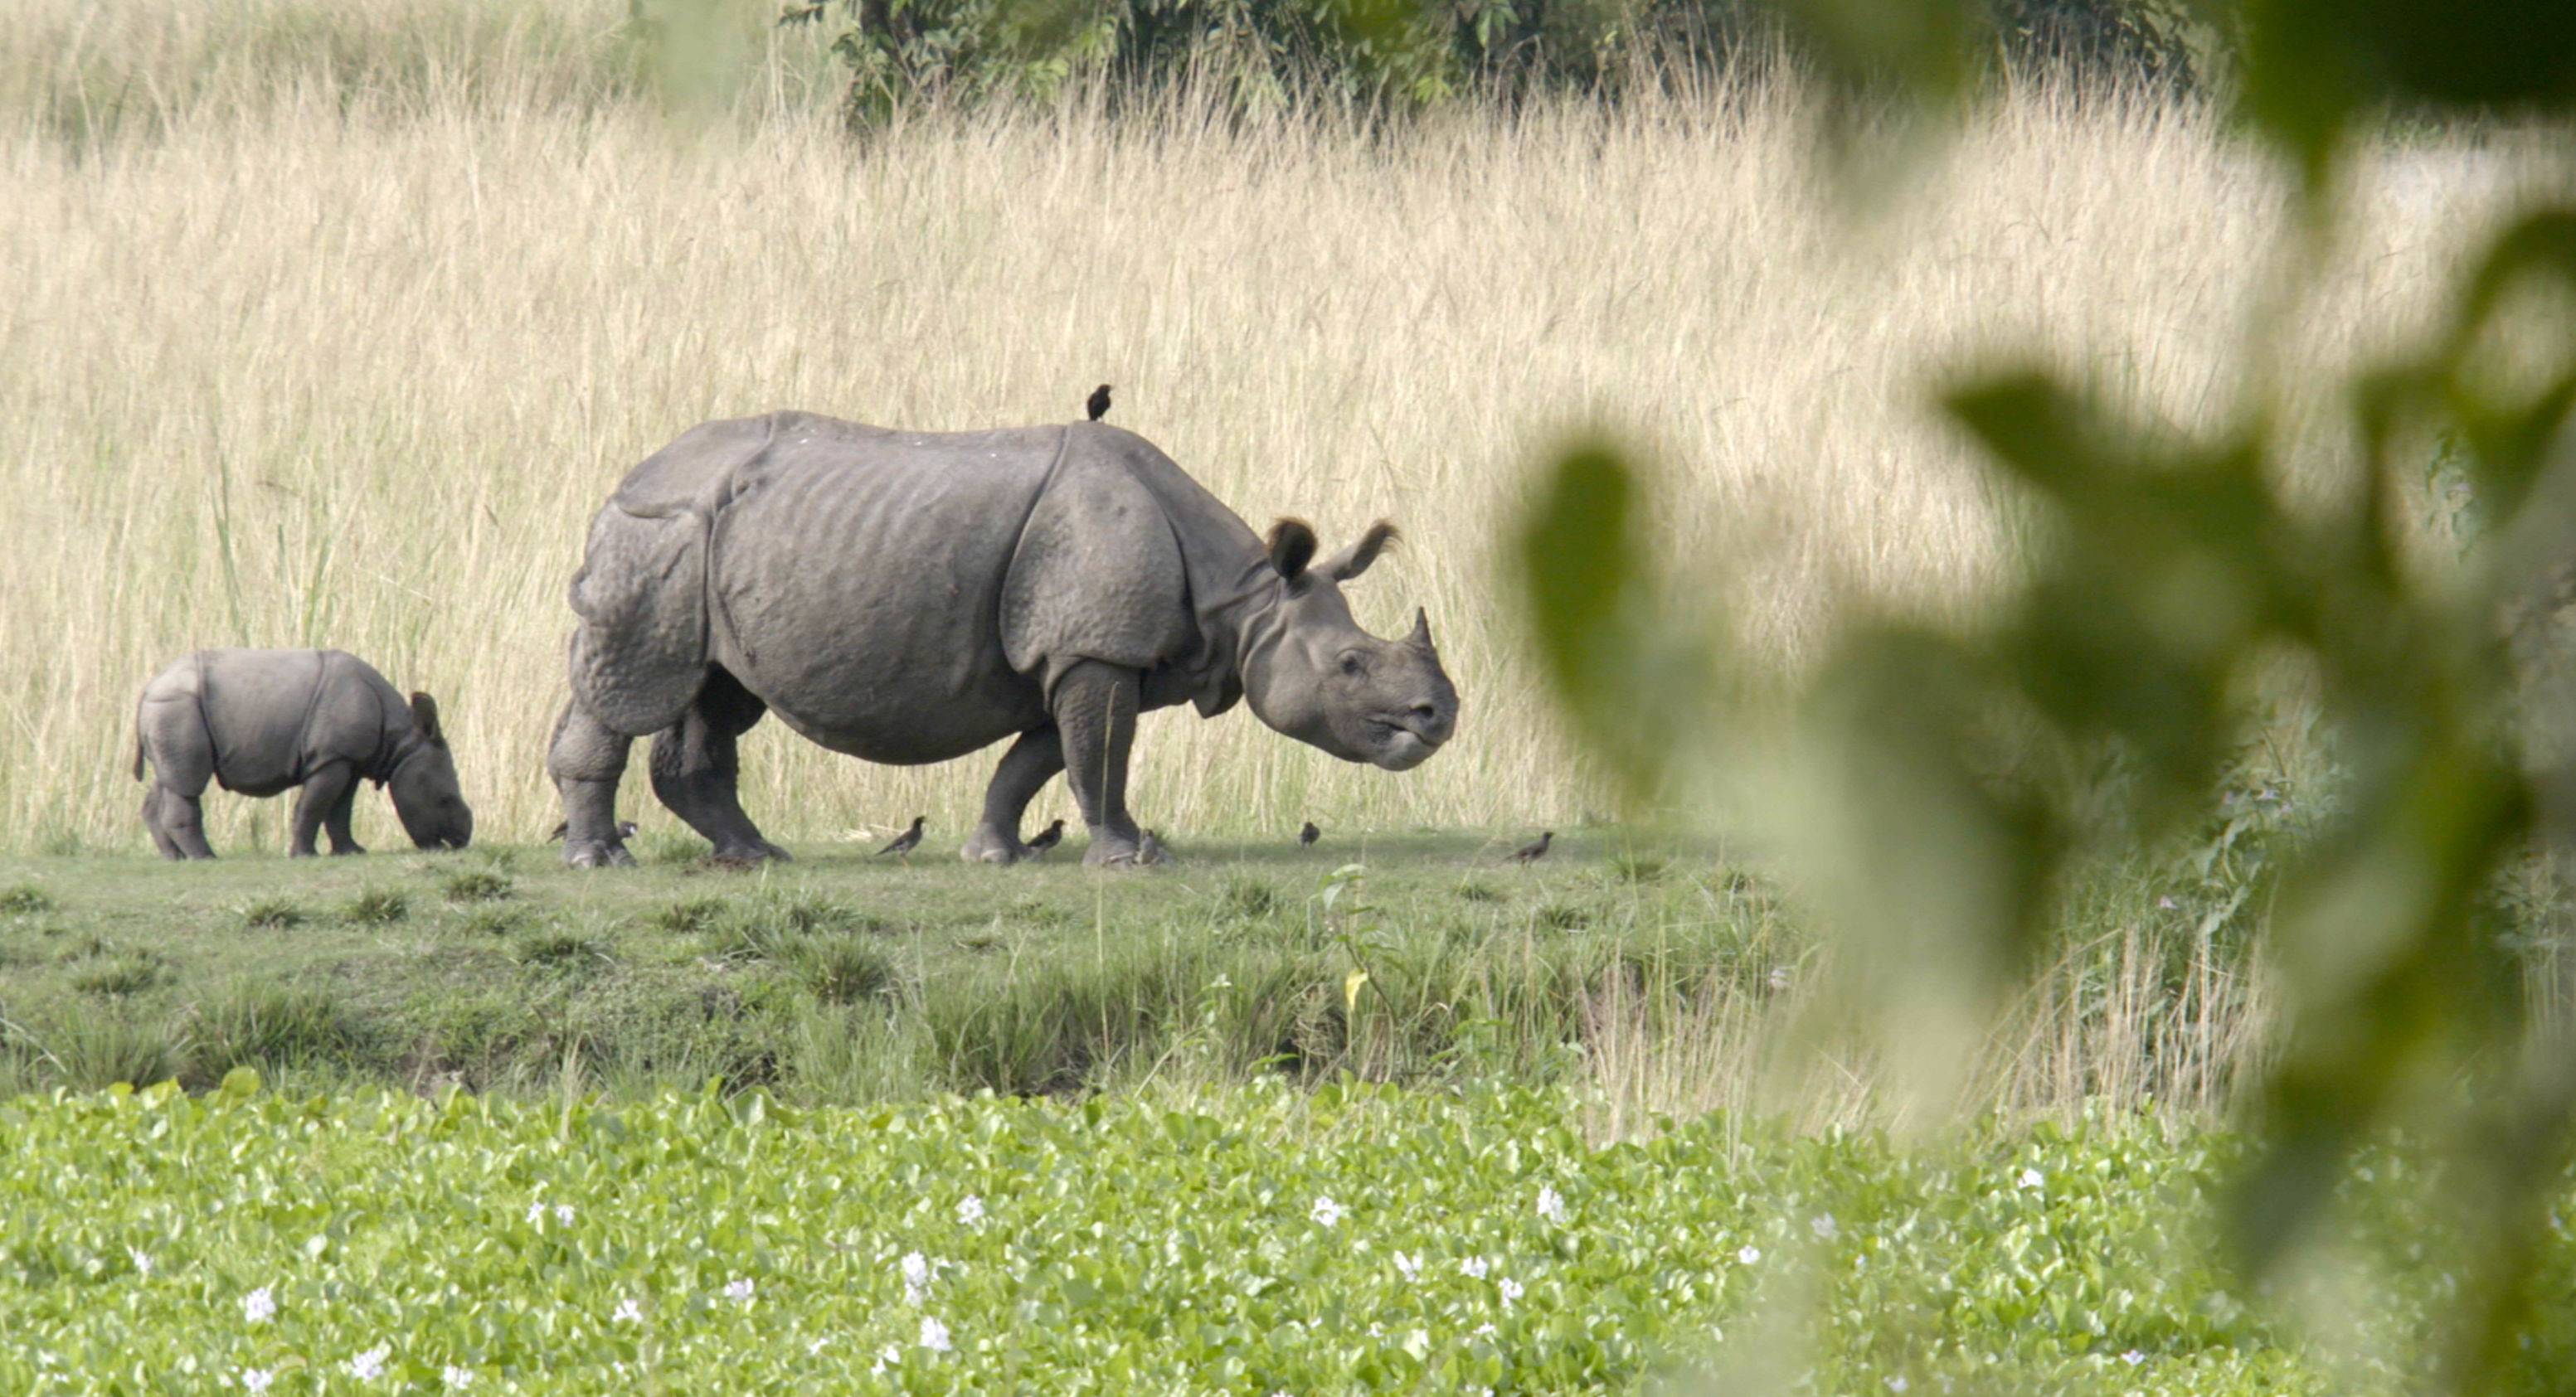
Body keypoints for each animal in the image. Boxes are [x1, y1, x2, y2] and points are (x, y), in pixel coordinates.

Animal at [132, 652, 474, 861]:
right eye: (445, 799)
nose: (460, 842)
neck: (399, 740)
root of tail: (147, 689)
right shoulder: (330, 758)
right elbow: (313, 806)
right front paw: (305, 855)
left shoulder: (347, 761)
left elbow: (340, 810)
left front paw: (352, 852)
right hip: (178, 707)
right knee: (188, 783)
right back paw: (206, 858)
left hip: (169, 711)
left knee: (169, 778)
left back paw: (174, 858)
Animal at [551, 410, 1463, 871]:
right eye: (1350, 665)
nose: (1438, 715)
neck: (1242, 598)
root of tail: (625, 476)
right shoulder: (1097, 649)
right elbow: (1099, 756)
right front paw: (1127, 858)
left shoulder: (1082, 654)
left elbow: (1038, 758)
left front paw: (992, 853)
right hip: (657, 532)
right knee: (631, 686)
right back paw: (601, 861)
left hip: (718, 544)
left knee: (715, 693)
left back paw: (754, 855)